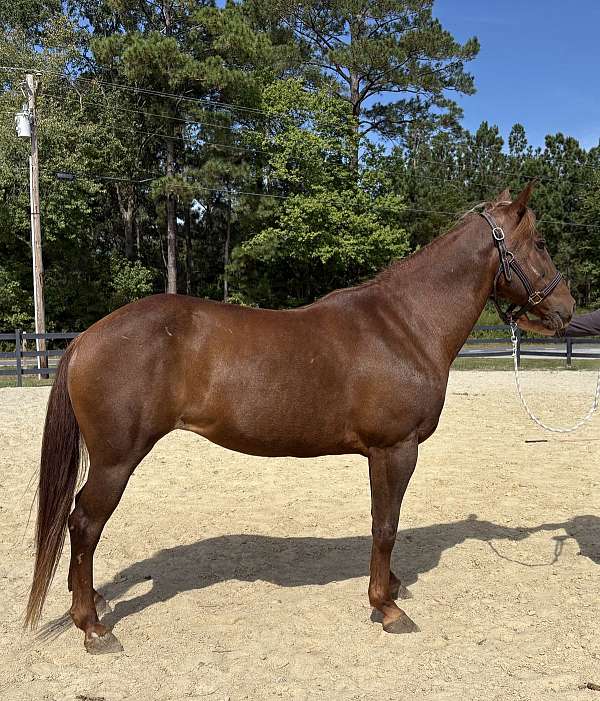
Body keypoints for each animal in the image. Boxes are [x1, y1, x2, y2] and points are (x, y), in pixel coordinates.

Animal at [25, 182, 575, 654]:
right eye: (541, 242)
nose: (568, 307)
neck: (406, 324)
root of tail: (85, 338)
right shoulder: (394, 449)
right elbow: (386, 525)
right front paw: (386, 606)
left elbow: (384, 523)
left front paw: (393, 587)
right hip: (116, 461)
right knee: (84, 523)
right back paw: (93, 627)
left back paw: (91, 604)